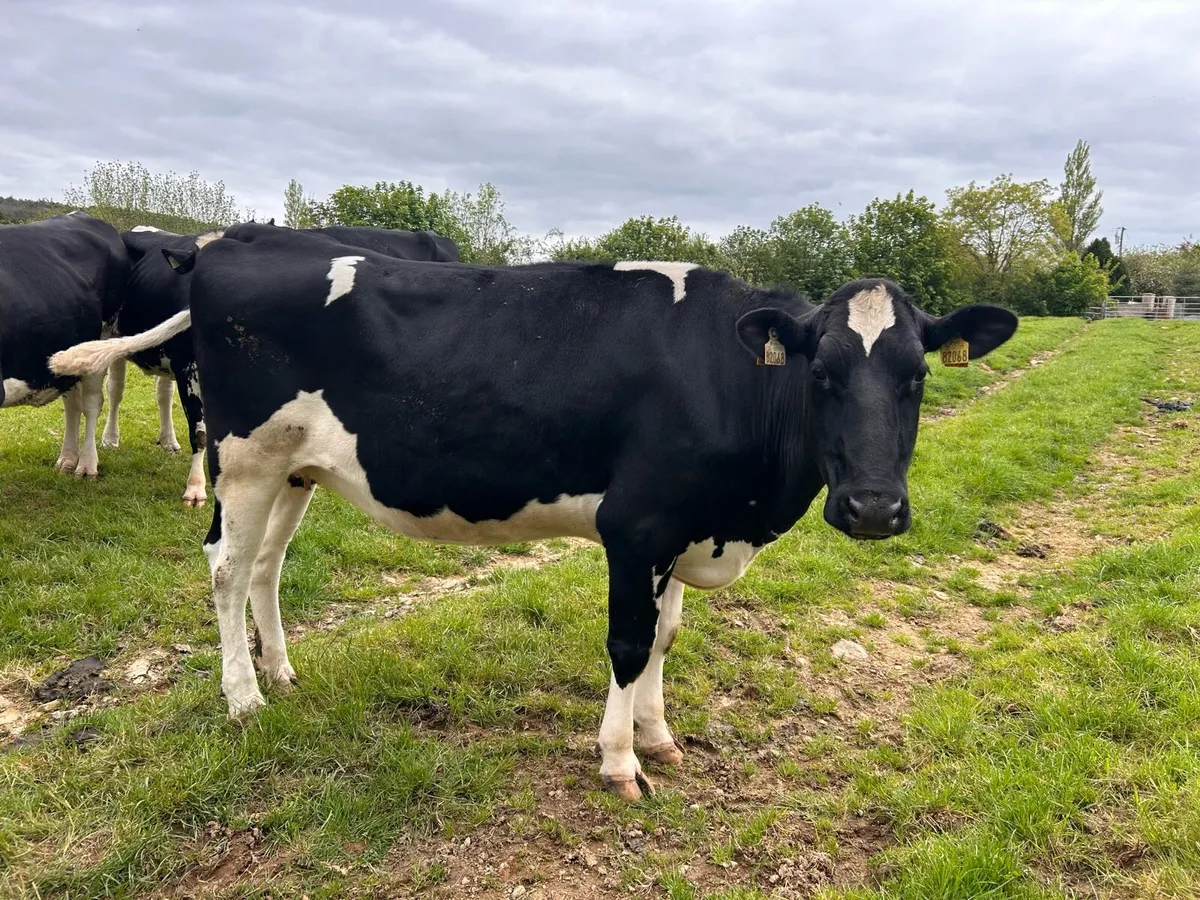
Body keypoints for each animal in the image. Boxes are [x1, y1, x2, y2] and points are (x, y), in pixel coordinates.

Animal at [94, 222, 462, 506]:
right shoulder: (190, 368)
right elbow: (200, 431)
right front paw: (196, 489)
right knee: (116, 389)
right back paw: (109, 439)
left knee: (161, 393)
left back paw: (167, 440)